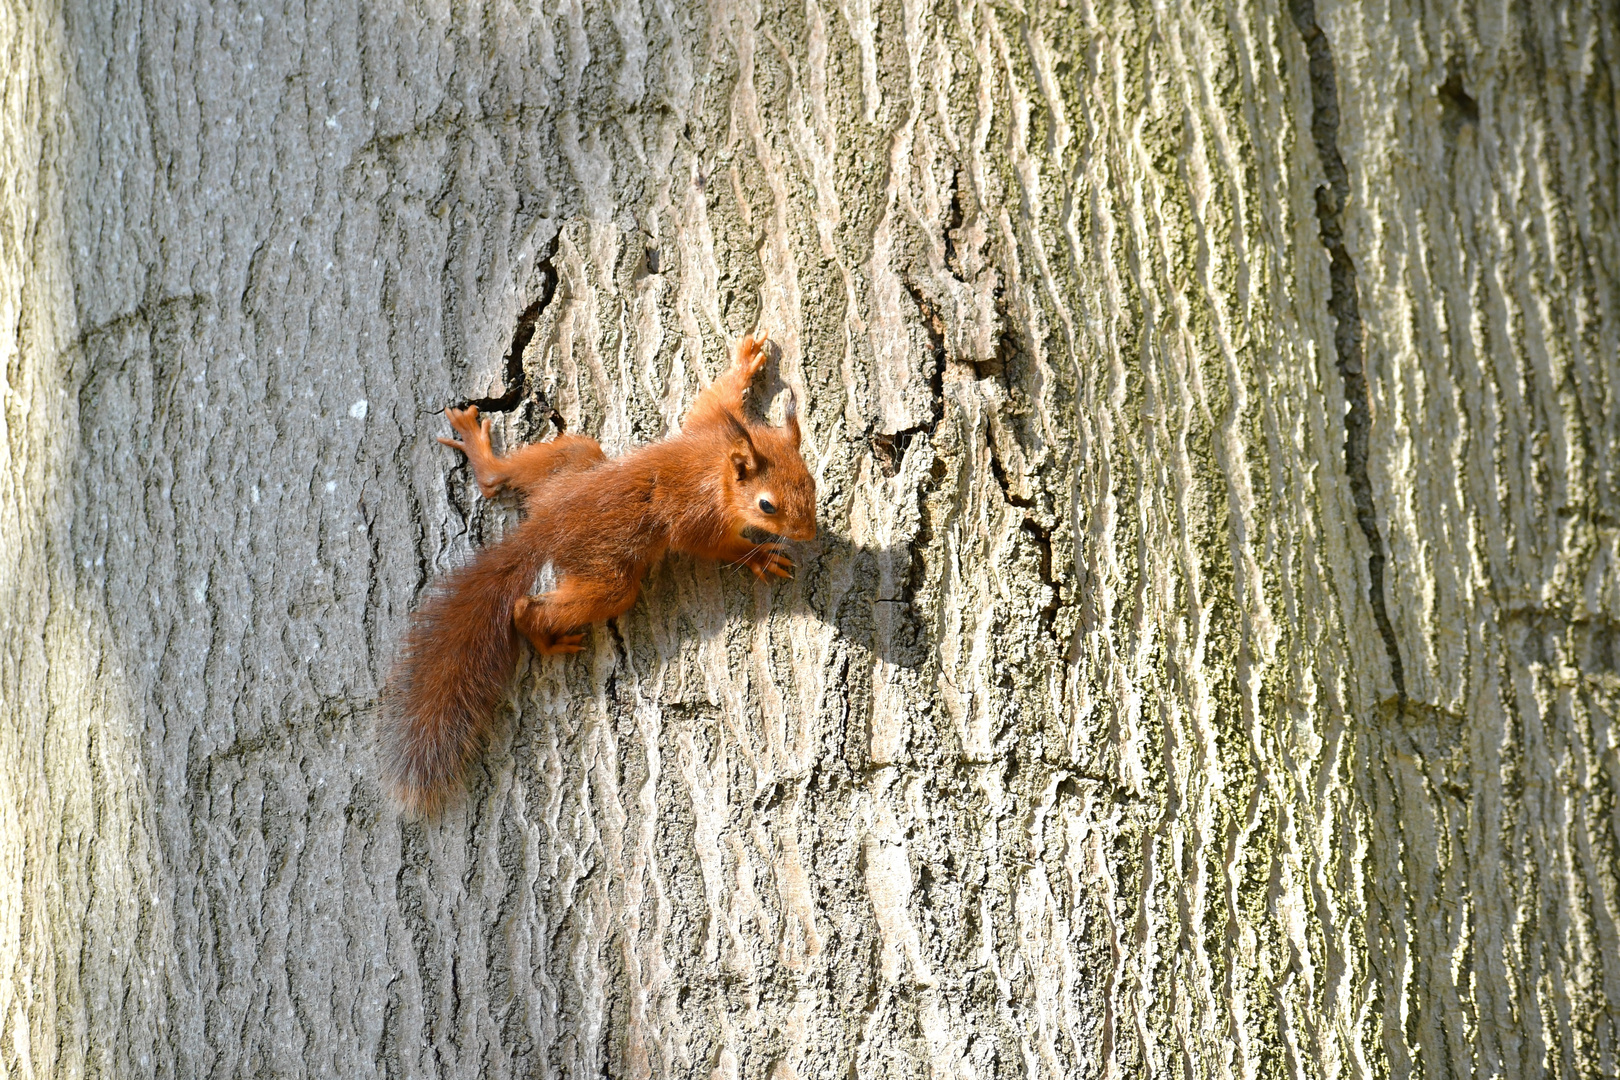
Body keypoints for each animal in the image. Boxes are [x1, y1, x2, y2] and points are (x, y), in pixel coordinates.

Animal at [375, 333, 810, 816]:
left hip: (575, 455)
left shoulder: (710, 425)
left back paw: (482, 456)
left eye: (809, 480)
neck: (716, 465)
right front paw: (760, 556)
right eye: (767, 506)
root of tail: (545, 526)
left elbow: (713, 398)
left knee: (505, 476)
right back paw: (545, 636)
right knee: (530, 607)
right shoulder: (699, 521)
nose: (809, 532)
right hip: (609, 577)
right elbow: (718, 546)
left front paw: (746, 360)